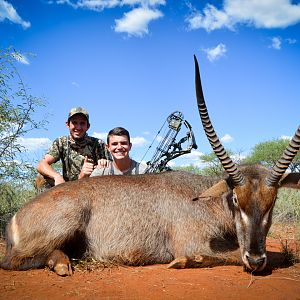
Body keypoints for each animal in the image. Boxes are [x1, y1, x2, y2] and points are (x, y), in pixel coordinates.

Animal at [0, 56, 300, 276]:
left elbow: (277, 255)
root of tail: (15, 216)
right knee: (14, 262)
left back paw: (63, 262)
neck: (208, 201)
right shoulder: (192, 241)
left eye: (273, 200)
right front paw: (184, 261)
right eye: (236, 198)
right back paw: (62, 264)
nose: (256, 258)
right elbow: (236, 255)